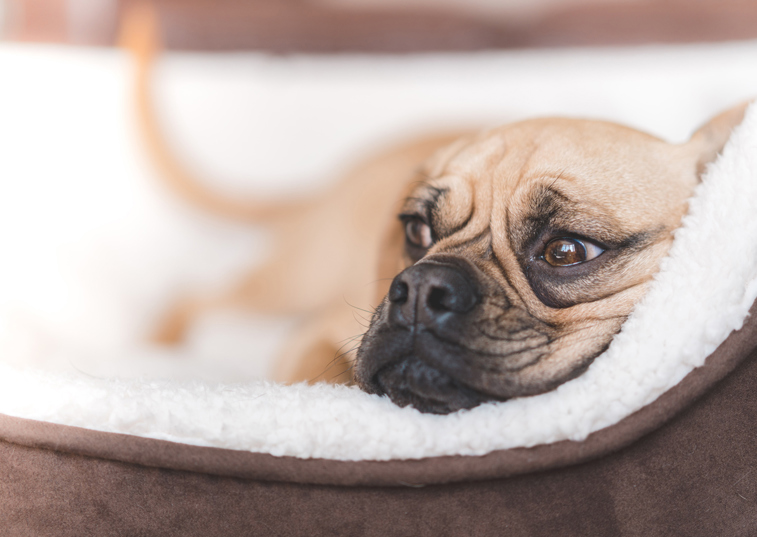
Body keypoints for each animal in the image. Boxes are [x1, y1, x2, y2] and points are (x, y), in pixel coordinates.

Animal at [121, 2, 748, 410]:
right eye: (417, 232)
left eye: (567, 252)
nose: (421, 288)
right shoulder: (312, 338)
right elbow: (330, 383)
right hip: (289, 284)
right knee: (197, 299)